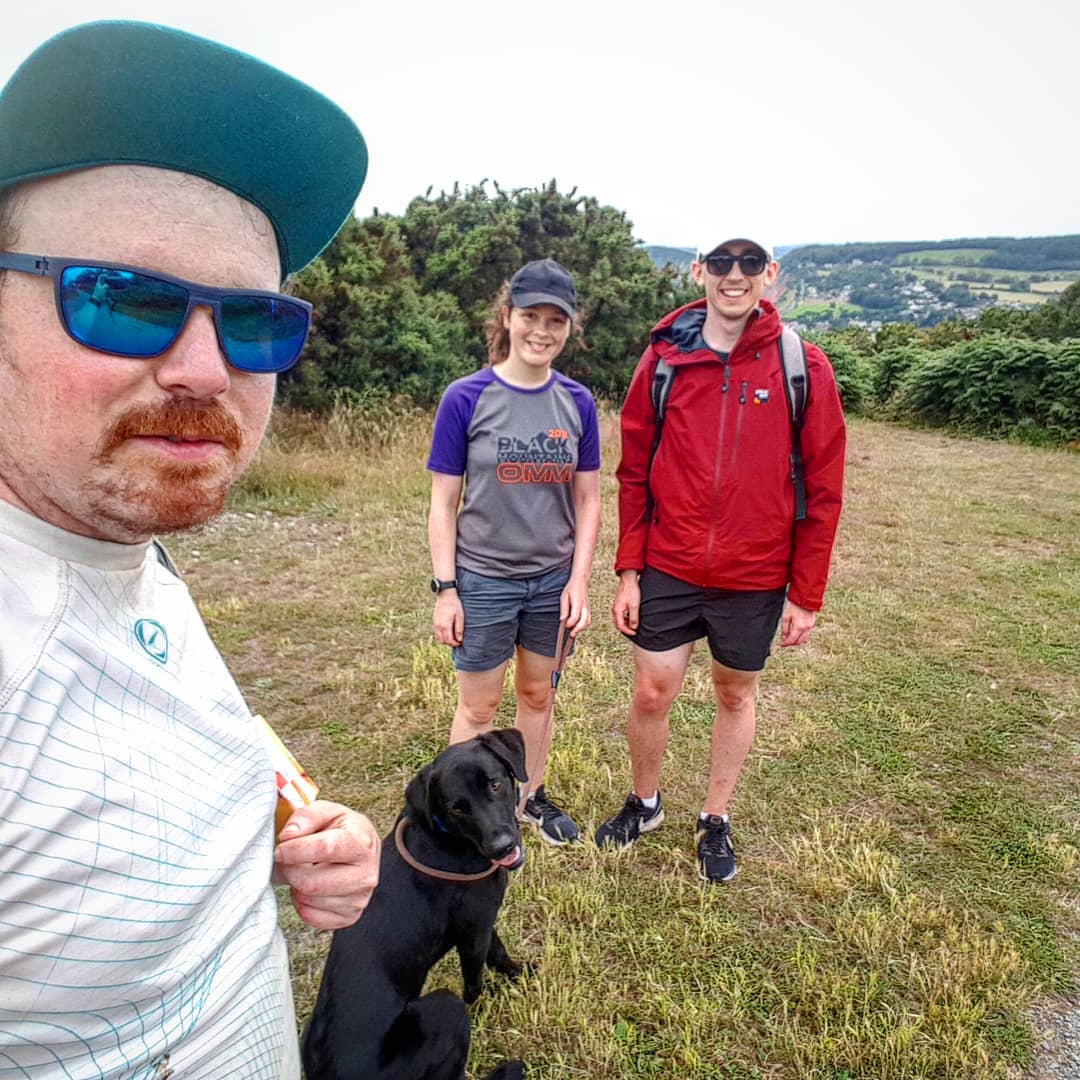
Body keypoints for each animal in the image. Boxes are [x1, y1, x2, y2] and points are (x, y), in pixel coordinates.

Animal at [301, 729, 529, 1080]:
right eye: (457, 809)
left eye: (495, 784)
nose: (501, 847)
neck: (449, 838)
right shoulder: (475, 930)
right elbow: (477, 975)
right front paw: (491, 996)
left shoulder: (480, 923)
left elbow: (498, 952)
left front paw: (519, 974)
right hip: (445, 1010)